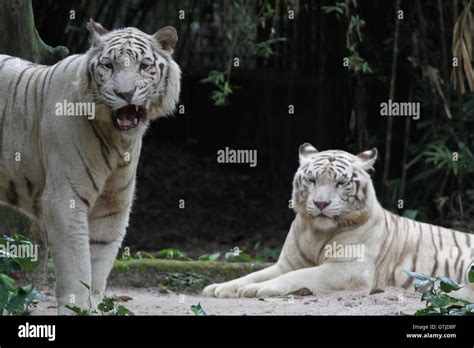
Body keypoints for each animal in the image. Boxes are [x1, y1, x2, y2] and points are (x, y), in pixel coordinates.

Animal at [0, 18, 181, 316]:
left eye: (144, 66)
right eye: (108, 65)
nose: (125, 93)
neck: (118, 141)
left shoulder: (112, 206)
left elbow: (98, 264)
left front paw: (92, 307)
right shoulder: (65, 200)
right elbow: (77, 265)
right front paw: (75, 307)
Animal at [205, 143, 474, 300]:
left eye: (340, 182)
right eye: (312, 180)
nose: (321, 203)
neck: (315, 232)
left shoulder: (346, 269)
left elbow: (295, 277)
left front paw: (255, 290)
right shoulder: (286, 264)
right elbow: (252, 274)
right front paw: (219, 287)